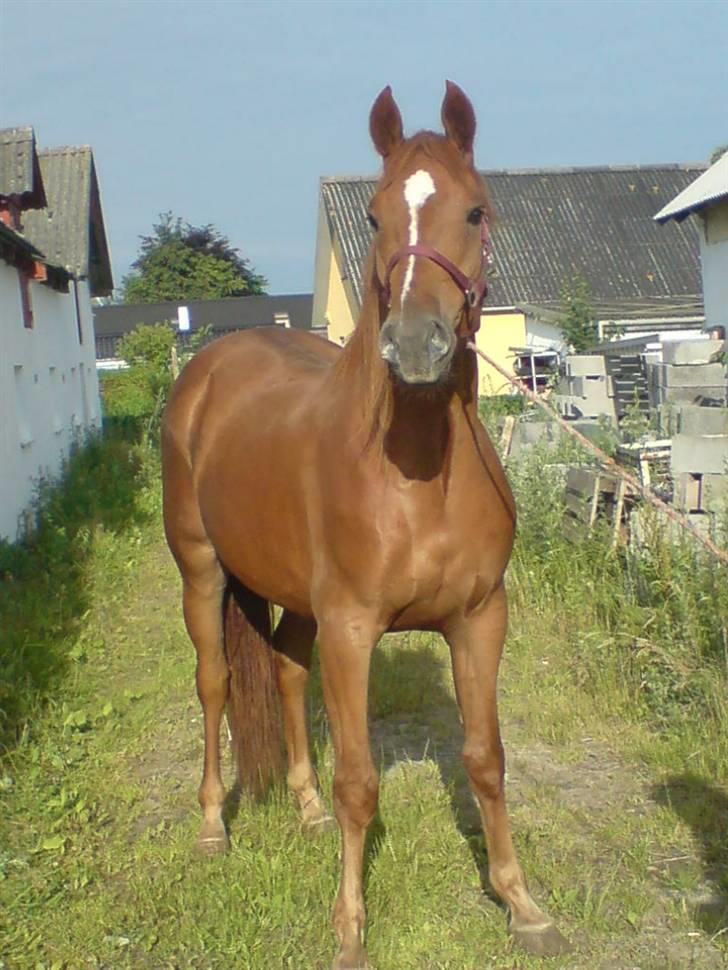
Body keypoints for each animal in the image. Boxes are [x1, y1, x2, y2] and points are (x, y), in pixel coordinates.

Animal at [162, 79, 572, 964]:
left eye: (476, 211)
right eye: (378, 216)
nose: (415, 345)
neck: (417, 477)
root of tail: (208, 368)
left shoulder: (480, 619)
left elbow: (486, 761)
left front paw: (521, 903)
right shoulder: (353, 627)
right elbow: (361, 781)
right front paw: (350, 925)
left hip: (294, 598)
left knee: (285, 672)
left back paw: (305, 808)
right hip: (202, 571)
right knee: (214, 684)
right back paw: (212, 827)